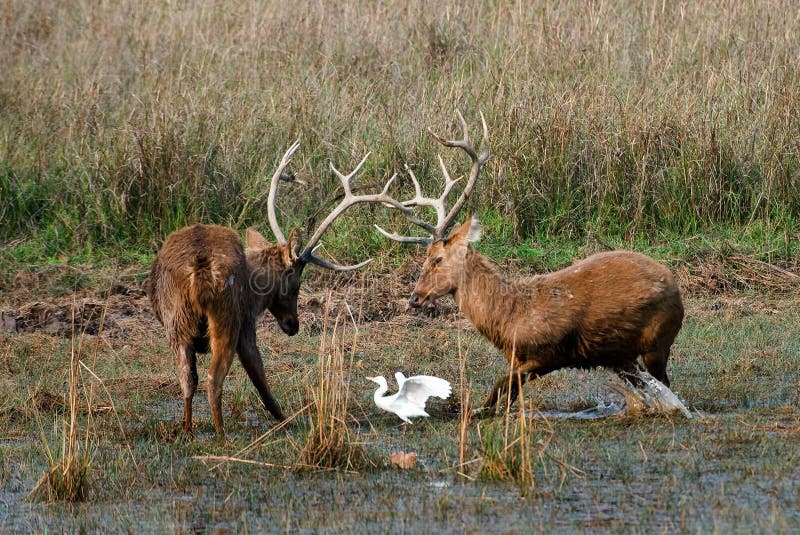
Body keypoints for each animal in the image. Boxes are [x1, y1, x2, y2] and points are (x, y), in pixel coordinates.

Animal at [148, 141, 412, 436]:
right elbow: (259, 375)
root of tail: (200, 270)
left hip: (176, 322)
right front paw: (287, 419)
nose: (293, 325)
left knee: (187, 379)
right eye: (296, 283)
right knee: (213, 378)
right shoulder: (247, 320)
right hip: (228, 316)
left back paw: (187, 429)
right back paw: (221, 433)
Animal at [378, 112, 684, 414]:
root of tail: (675, 285)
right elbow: (503, 397)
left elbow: (498, 388)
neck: (508, 318)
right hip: (621, 354)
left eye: (437, 258)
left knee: (667, 386)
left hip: (657, 341)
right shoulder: (518, 358)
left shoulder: (549, 353)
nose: (415, 297)